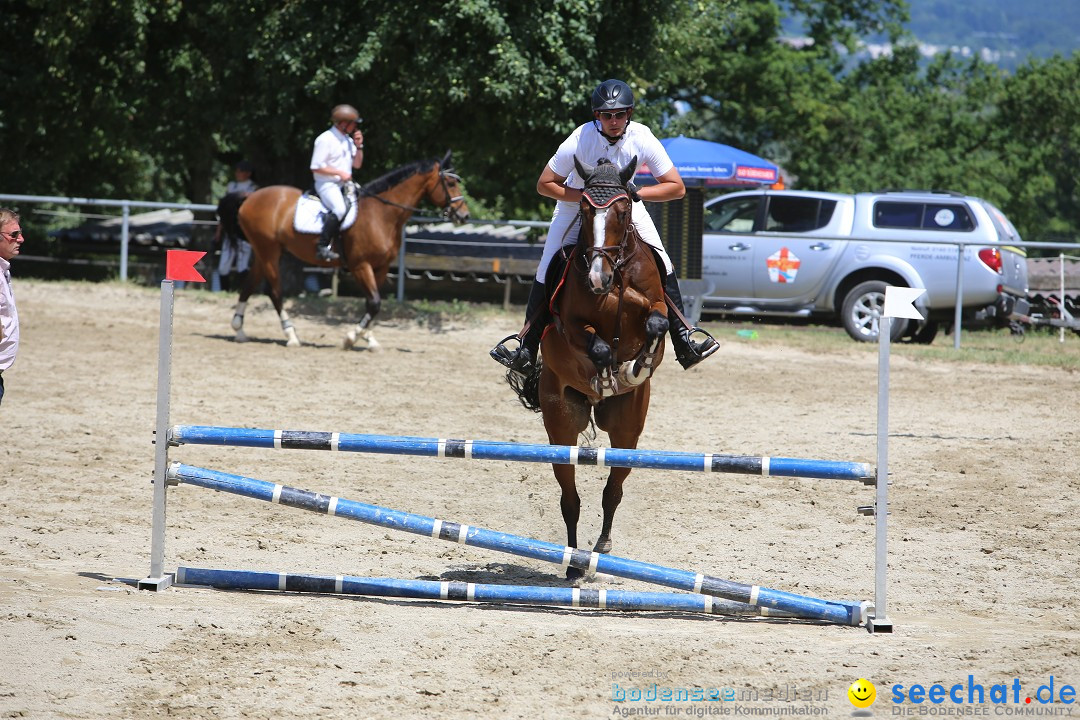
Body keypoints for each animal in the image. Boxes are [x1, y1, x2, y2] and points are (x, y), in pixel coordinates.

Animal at [232, 152, 468, 349]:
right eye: (450, 183)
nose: (464, 215)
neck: (382, 214)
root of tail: (250, 198)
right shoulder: (360, 266)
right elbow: (374, 302)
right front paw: (352, 337)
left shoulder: (380, 267)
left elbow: (372, 303)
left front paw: (369, 338)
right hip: (269, 251)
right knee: (275, 292)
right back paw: (291, 336)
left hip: (263, 252)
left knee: (248, 285)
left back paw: (239, 330)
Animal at [505, 156, 665, 578]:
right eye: (584, 210)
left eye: (623, 210)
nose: (597, 278)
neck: (616, 277)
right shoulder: (570, 325)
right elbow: (597, 345)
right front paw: (607, 372)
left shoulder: (655, 305)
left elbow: (657, 324)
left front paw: (636, 366)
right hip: (562, 426)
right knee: (570, 498)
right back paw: (575, 563)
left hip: (627, 430)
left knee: (613, 491)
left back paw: (602, 547)